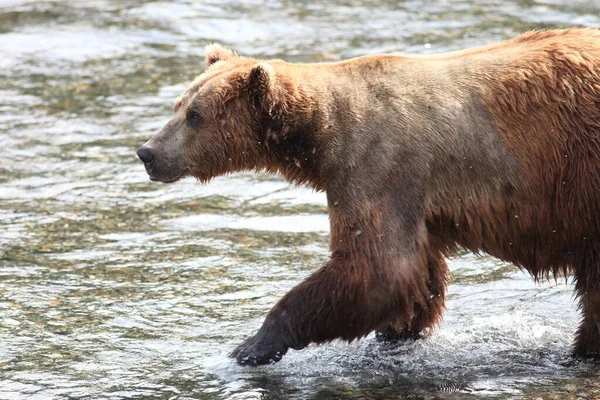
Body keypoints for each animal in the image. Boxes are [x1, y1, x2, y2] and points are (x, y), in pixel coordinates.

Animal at [138, 28, 600, 366]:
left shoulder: (377, 166)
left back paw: (580, 353)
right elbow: (417, 276)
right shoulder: (413, 202)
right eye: (178, 104)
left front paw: (253, 343)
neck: (318, 137)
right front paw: (394, 333)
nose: (148, 152)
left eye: (195, 115)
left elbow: (378, 268)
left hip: (581, 172)